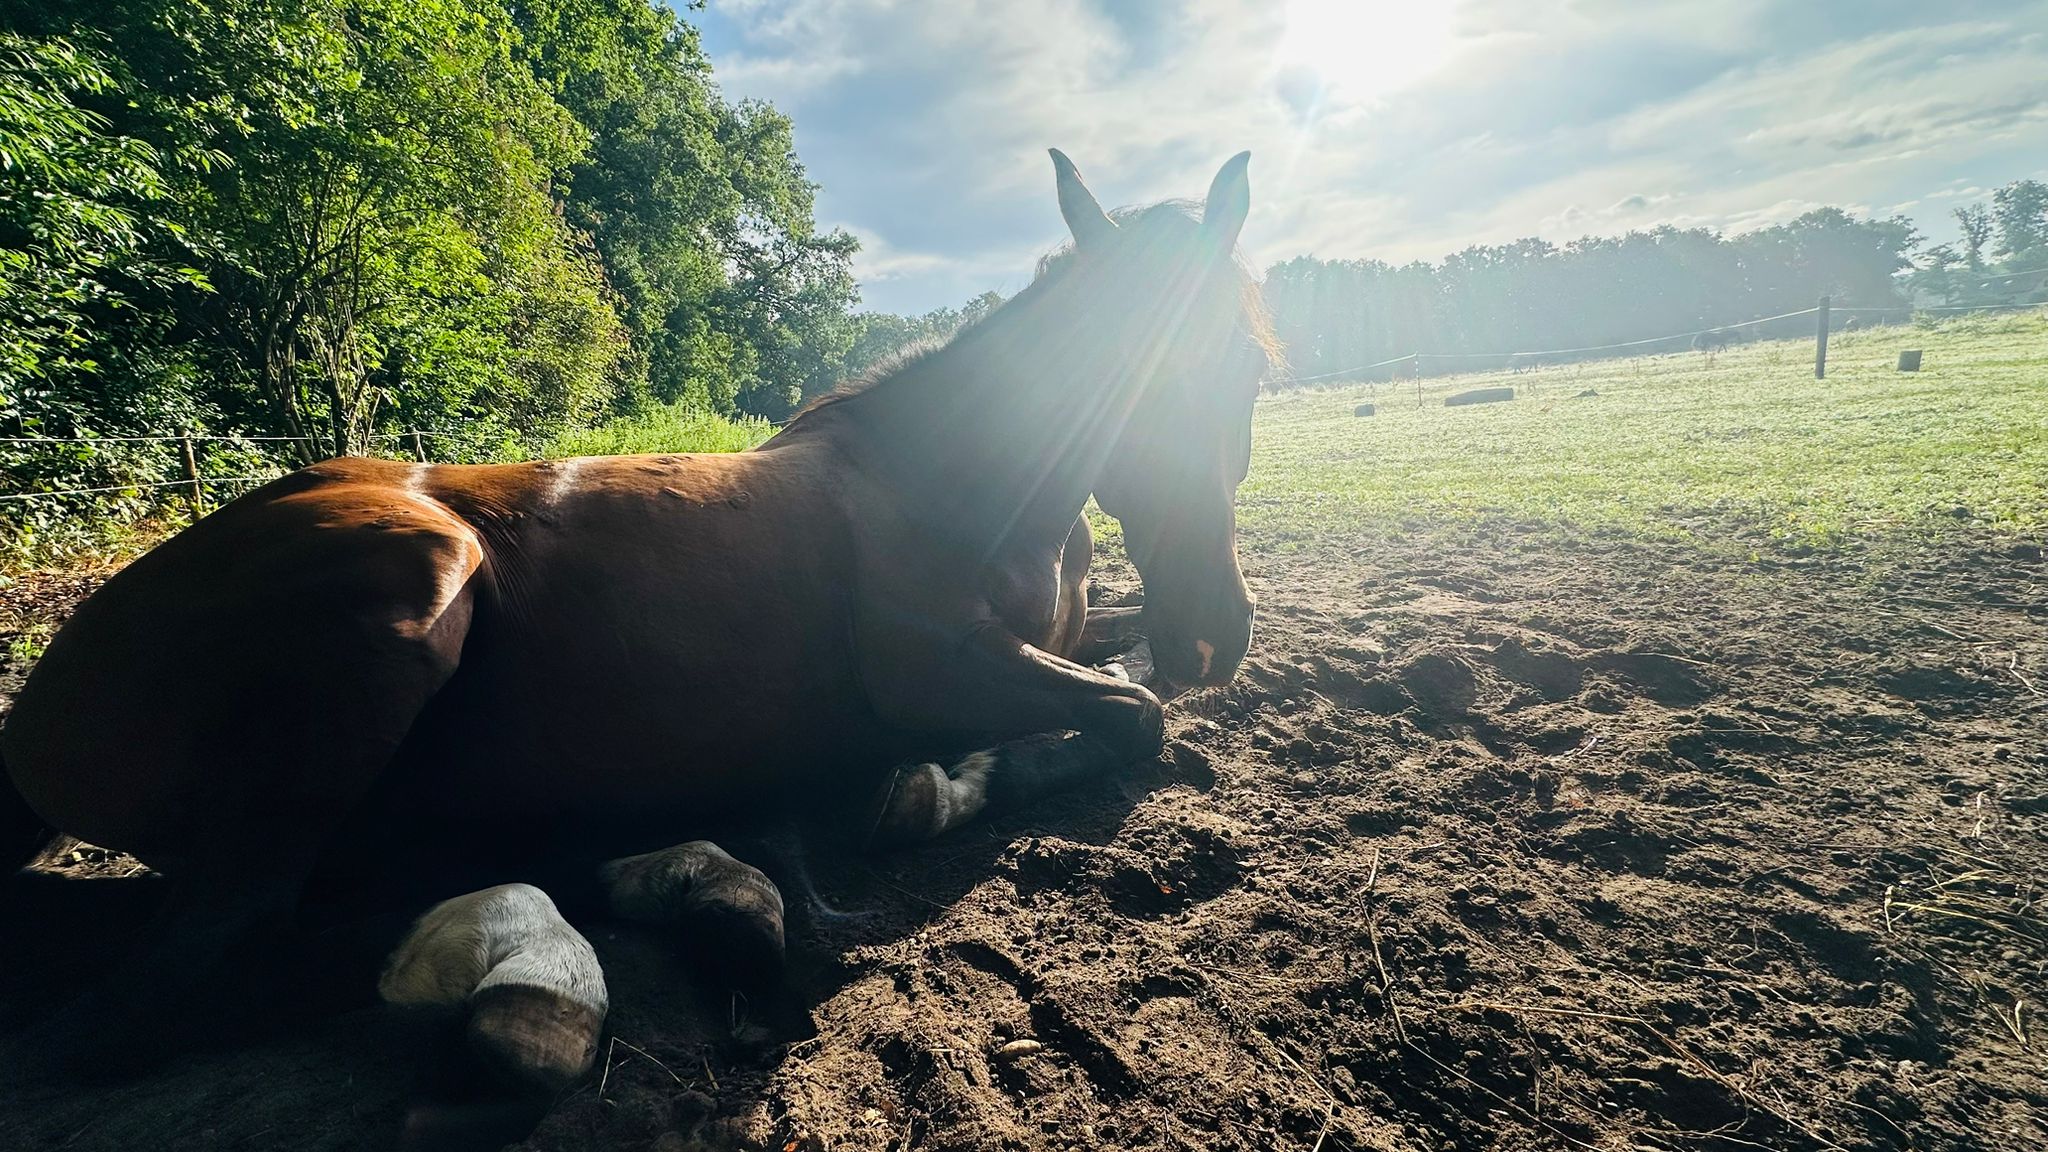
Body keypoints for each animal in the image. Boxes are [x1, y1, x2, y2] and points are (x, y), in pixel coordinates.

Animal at [0, 149, 1272, 1093]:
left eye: (1249, 369)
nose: (1215, 632)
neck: (942, 482)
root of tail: (44, 704)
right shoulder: (939, 670)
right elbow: (1133, 715)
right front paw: (915, 790)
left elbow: (1121, 668)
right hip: (414, 581)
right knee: (188, 975)